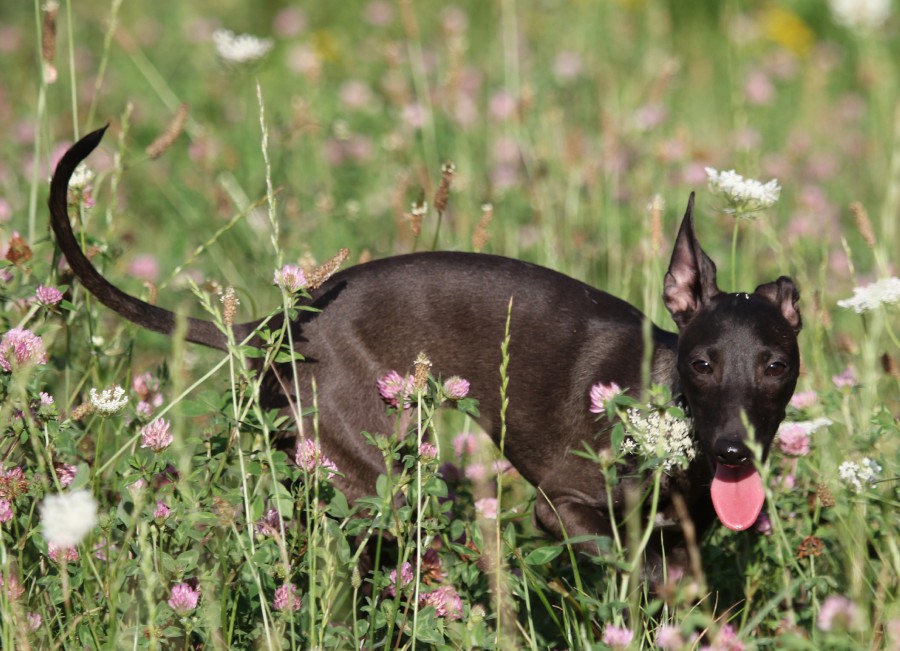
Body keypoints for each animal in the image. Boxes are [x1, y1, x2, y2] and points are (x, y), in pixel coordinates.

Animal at [47, 125, 800, 580]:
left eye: (776, 365)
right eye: (702, 364)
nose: (735, 452)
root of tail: (281, 321)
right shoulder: (563, 510)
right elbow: (643, 569)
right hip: (375, 475)